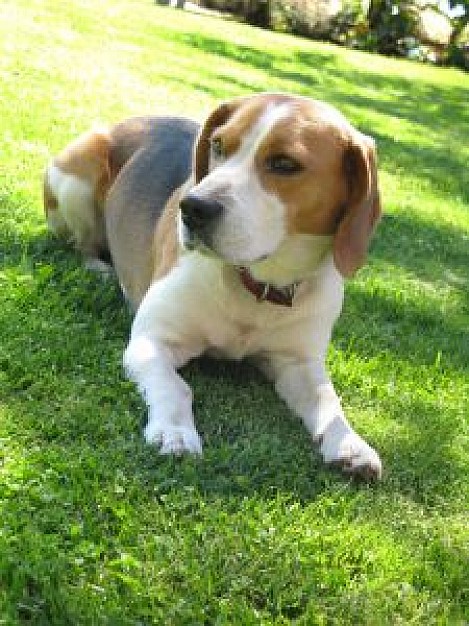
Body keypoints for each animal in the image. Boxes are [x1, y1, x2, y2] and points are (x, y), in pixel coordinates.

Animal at [43, 94, 380, 478]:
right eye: (218, 145)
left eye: (285, 164)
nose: (192, 207)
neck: (259, 286)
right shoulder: (152, 340)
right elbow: (176, 388)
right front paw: (174, 431)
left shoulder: (298, 362)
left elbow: (328, 399)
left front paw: (350, 443)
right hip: (77, 184)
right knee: (80, 244)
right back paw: (100, 269)